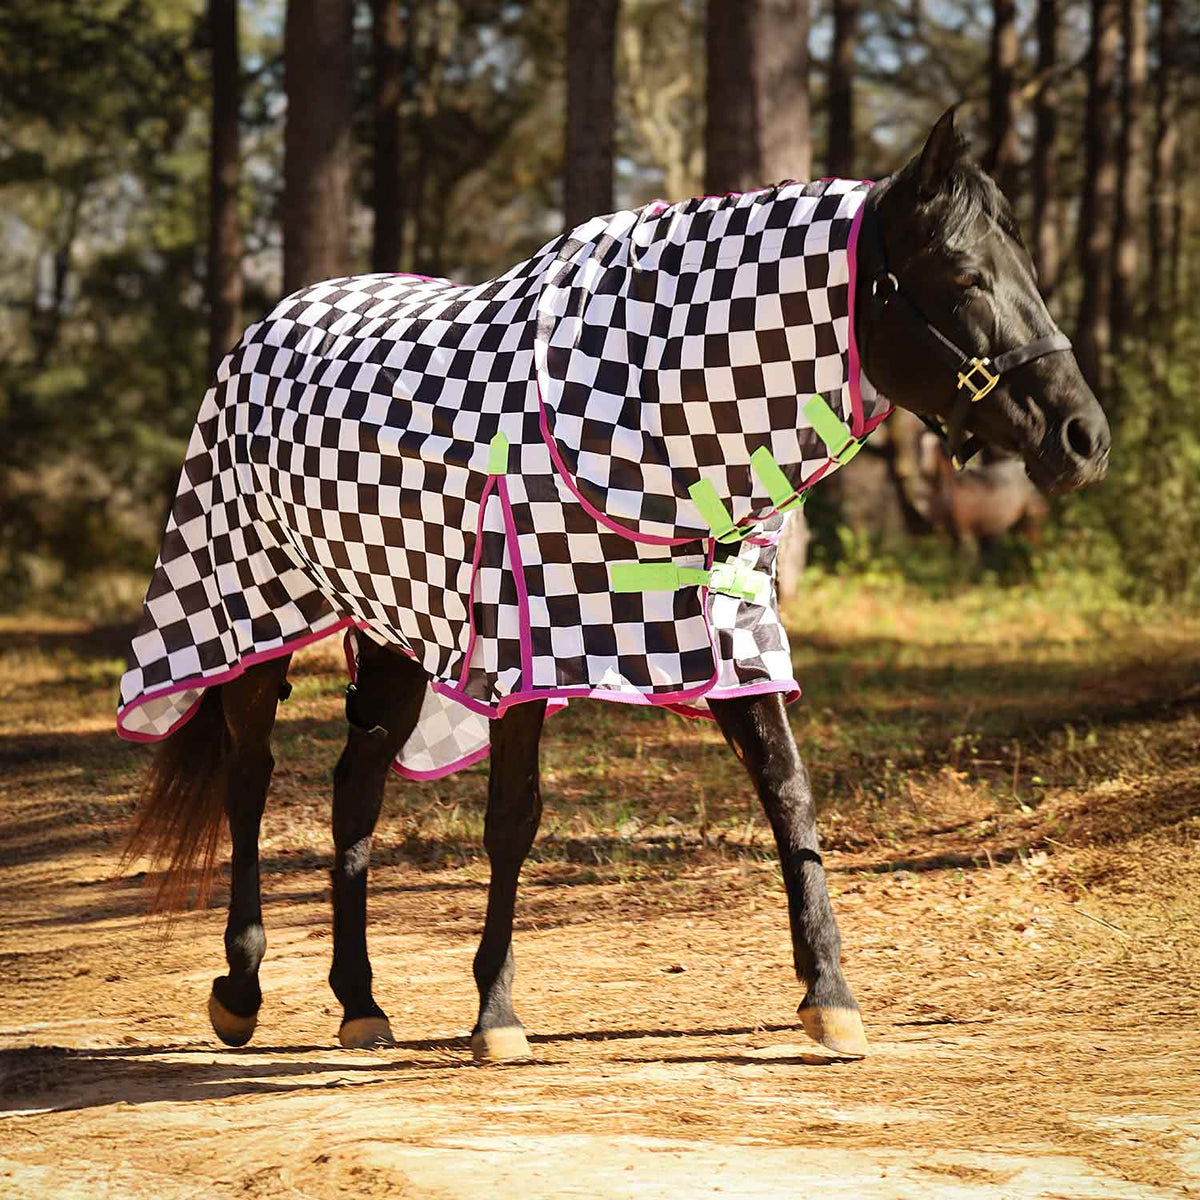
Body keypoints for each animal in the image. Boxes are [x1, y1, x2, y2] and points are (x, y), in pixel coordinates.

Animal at [122, 109, 1109, 1063]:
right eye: (964, 275)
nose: (1084, 437)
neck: (650, 415)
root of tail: (267, 325)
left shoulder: (729, 639)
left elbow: (789, 794)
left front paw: (830, 998)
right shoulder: (526, 648)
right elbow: (512, 817)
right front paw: (496, 1014)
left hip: (397, 626)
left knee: (354, 788)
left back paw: (361, 1004)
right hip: (252, 611)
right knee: (250, 775)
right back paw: (241, 992)